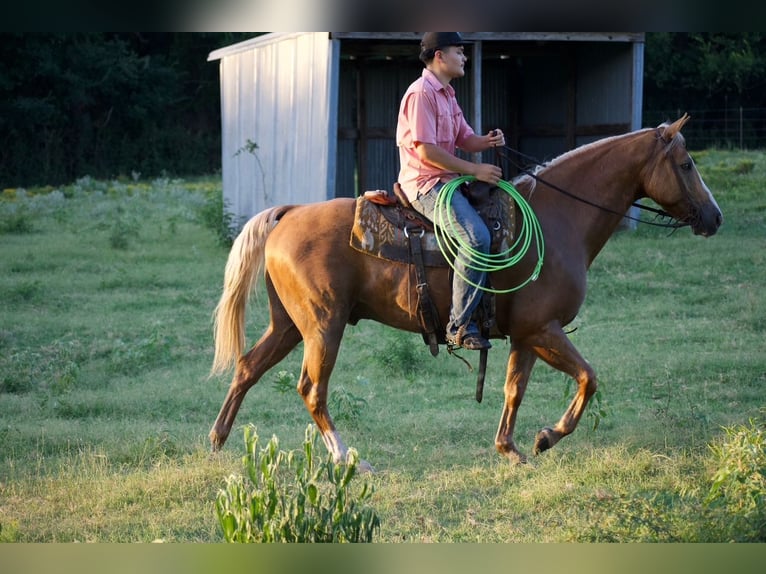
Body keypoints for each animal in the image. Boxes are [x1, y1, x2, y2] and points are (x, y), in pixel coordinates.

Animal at [208, 114, 722, 470]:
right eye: (686, 164)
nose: (714, 217)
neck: (556, 222)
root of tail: (290, 212)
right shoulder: (545, 328)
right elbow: (588, 378)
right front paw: (547, 436)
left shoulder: (526, 335)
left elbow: (514, 388)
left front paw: (510, 448)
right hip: (322, 326)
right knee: (312, 390)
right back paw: (348, 457)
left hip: (289, 325)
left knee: (248, 367)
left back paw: (217, 439)